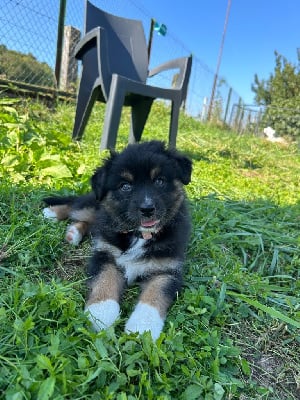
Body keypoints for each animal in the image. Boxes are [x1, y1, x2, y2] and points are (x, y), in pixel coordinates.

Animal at [42, 141, 192, 340]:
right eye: (125, 186)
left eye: (159, 181)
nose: (147, 209)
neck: (140, 235)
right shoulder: (106, 253)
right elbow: (104, 280)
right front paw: (100, 314)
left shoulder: (167, 269)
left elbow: (155, 294)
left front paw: (142, 327)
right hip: (96, 204)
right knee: (77, 207)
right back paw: (53, 213)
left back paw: (73, 233)